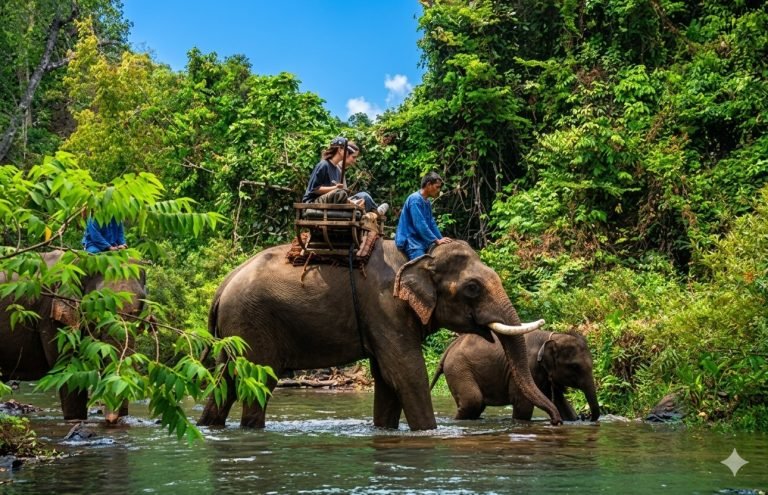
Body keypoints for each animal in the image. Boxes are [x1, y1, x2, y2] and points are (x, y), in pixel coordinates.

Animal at [198, 240, 563, 430]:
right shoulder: (386, 307)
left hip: (234, 331)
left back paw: (208, 426)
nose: (557, 422)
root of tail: (221, 289)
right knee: (256, 380)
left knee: (225, 380)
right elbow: (407, 373)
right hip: (252, 324)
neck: (418, 256)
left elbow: (387, 379)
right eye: (472, 288)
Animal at [431, 330, 600, 422]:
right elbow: (523, 405)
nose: (586, 417)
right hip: (458, 369)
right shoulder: (528, 366)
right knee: (472, 401)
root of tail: (449, 348)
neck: (550, 337)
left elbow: (561, 404)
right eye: (575, 366)